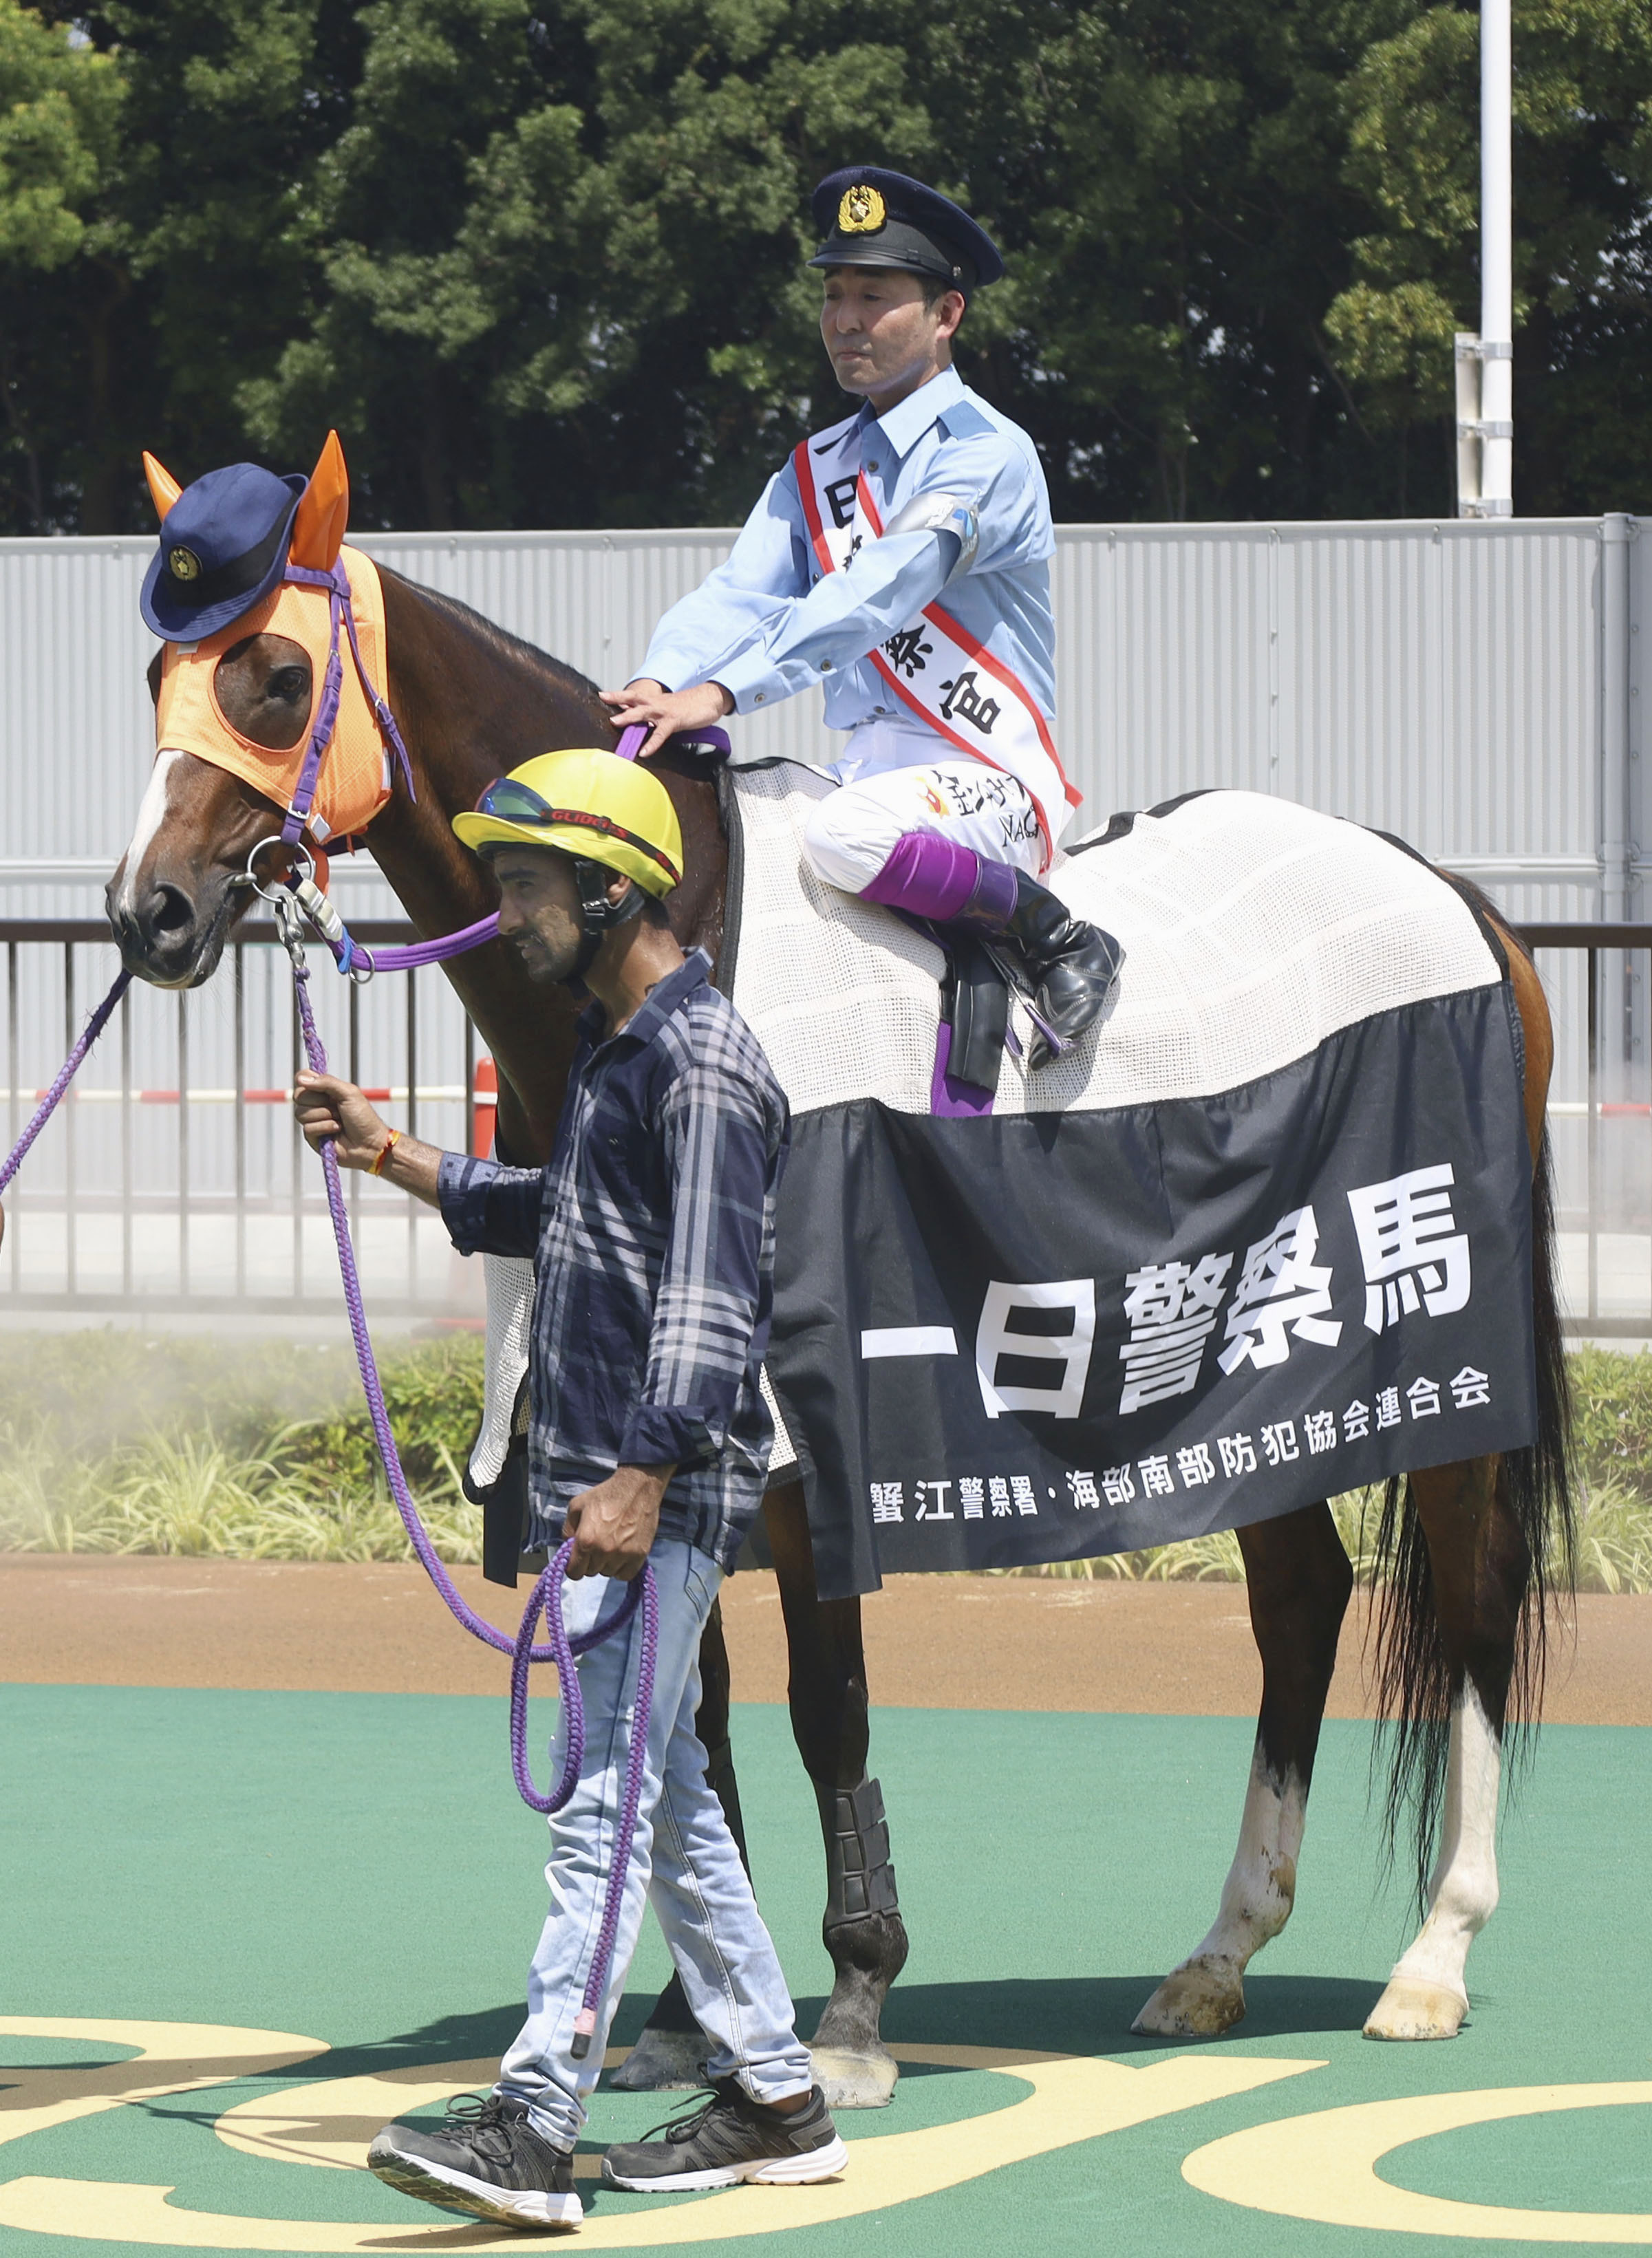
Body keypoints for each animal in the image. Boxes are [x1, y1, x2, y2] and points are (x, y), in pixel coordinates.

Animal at [107, 492, 1573, 2087]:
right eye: (156, 678)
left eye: (275, 677)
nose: (149, 912)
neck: (680, 957)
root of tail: (1448, 893)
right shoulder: (644, 1409)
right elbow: (687, 1707)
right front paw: (689, 2017)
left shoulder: (810, 1436)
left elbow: (827, 1707)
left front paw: (857, 2002)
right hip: (1241, 1378)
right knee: (1300, 1595)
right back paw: (1217, 1954)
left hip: (1435, 1347)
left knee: (1474, 1602)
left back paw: (1435, 1954)